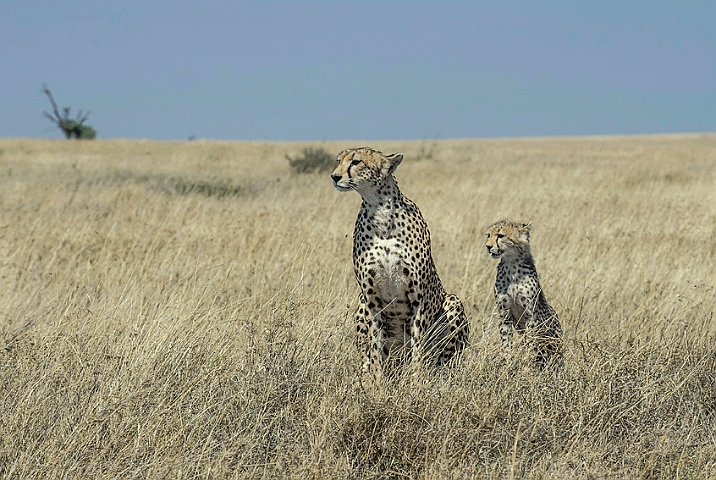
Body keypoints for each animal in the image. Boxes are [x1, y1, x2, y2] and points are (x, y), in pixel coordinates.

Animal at [332, 146, 470, 378]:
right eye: (338, 160)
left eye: (356, 162)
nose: (334, 176)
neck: (380, 211)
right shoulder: (372, 300)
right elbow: (374, 348)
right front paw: (376, 383)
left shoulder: (418, 299)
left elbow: (418, 350)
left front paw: (415, 381)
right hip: (361, 303)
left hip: (453, 302)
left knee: (443, 362)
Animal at [484, 219, 564, 370]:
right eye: (488, 235)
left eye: (501, 235)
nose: (488, 246)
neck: (511, 265)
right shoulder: (504, 313)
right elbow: (506, 342)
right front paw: (508, 363)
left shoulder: (530, 315)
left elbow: (530, 344)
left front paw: (527, 365)